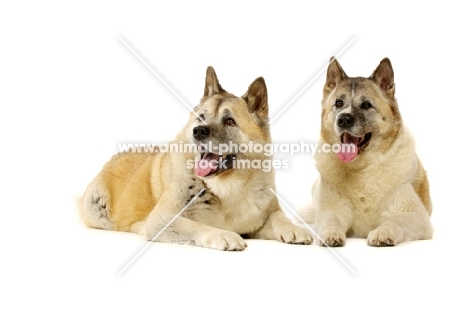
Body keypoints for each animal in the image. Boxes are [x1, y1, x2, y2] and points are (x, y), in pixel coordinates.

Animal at [79, 66, 314, 251]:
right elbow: (197, 226)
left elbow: (278, 217)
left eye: (229, 121)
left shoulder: (264, 217)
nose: (198, 131)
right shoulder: (162, 220)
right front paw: (224, 235)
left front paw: (294, 228)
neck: (226, 187)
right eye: (201, 117)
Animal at [302, 57, 434, 247]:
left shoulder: (416, 216)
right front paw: (330, 234)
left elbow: (395, 221)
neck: (361, 170)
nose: (343, 119)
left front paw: (383, 233)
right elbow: (330, 220)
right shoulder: (331, 211)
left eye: (366, 105)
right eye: (338, 103)